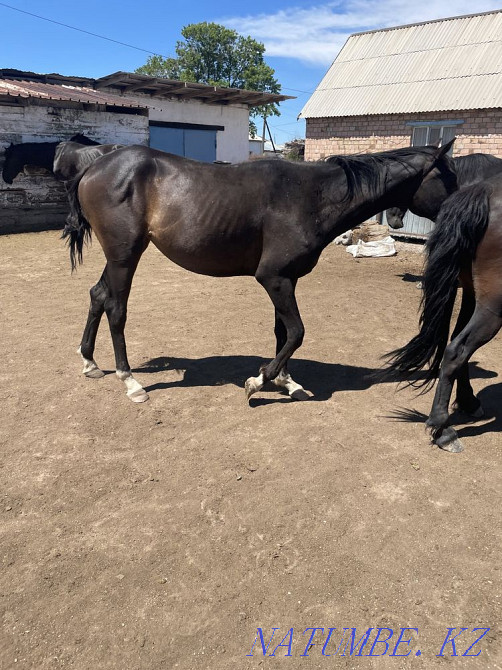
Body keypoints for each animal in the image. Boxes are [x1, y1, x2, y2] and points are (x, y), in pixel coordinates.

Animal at [61, 140, 455, 404]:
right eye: (448, 176)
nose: (461, 206)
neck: (312, 196)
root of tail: (95, 166)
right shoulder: (273, 278)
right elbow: (297, 332)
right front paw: (259, 381)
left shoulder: (287, 279)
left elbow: (283, 332)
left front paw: (286, 381)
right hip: (125, 256)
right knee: (116, 309)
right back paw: (130, 382)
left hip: (118, 258)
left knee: (98, 295)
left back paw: (90, 362)